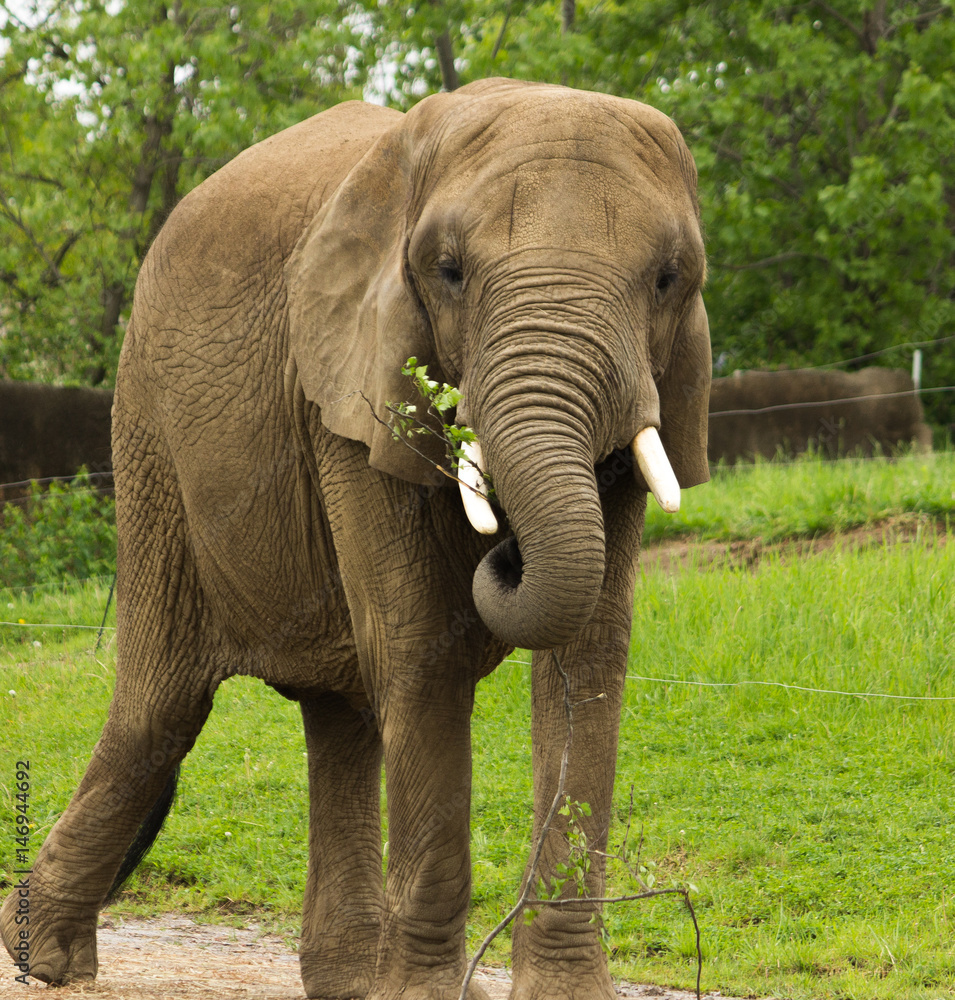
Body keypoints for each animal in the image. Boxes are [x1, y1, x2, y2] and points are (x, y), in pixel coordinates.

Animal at [1, 78, 711, 1000]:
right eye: (448, 271)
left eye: (667, 279)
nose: (505, 547)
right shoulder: (347, 388)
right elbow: (423, 652)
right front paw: (422, 997)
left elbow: (588, 657)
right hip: (150, 434)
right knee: (160, 708)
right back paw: (45, 960)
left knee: (337, 715)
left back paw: (342, 979)